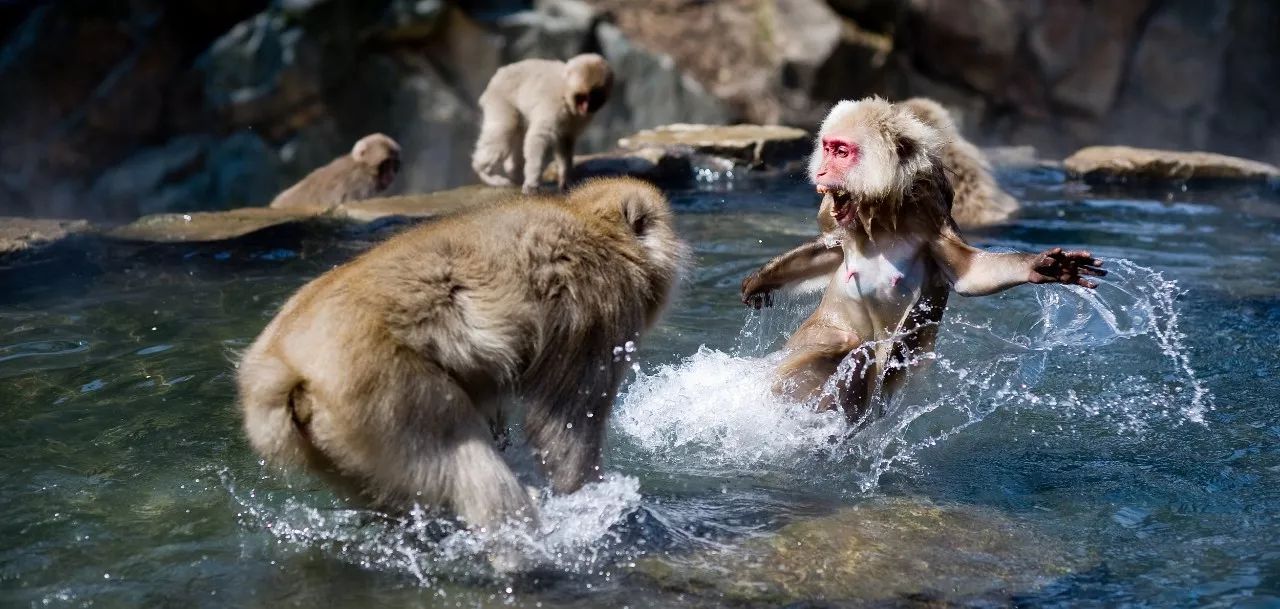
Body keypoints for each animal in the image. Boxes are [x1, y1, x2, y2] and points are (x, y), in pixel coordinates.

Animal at [236, 177, 686, 537]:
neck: (598, 230)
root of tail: (284, 364)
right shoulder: (600, 308)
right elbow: (564, 425)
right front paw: (590, 497)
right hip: (383, 391)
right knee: (465, 458)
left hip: (337, 441)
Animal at [471, 54, 614, 194]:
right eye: (582, 98)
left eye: (594, 98)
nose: (586, 108)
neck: (565, 92)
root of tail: (497, 76)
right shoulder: (553, 107)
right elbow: (538, 137)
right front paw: (532, 183)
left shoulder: (577, 119)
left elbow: (565, 142)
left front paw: (566, 179)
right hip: (499, 99)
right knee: (503, 133)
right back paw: (485, 173)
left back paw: (514, 174)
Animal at [742, 98, 1100, 422]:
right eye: (828, 148)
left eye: (842, 152)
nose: (822, 170)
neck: (883, 217)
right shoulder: (845, 225)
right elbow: (831, 250)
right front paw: (763, 279)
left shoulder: (932, 218)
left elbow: (969, 274)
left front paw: (1039, 267)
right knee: (839, 342)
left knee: (862, 353)